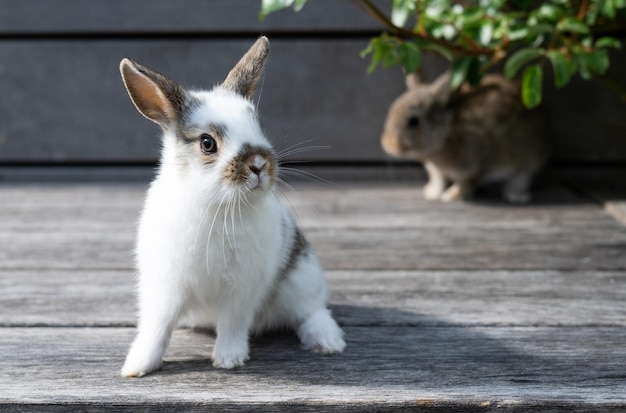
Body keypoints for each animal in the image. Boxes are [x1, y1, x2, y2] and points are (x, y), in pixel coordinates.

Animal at [119, 37, 344, 376]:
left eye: (259, 125)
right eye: (207, 143)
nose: (259, 164)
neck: (216, 205)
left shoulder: (241, 290)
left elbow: (233, 324)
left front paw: (228, 359)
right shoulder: (165, 286)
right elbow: (157, 328)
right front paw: (136, 366)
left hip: (302, 278)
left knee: (312, 311)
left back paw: (329, 342)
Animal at [378, 71, 548, 203]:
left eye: (413, 122)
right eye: (392, 108)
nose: (388, 145)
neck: (446, 132)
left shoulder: (474, 165)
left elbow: (465, 182)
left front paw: (451, 196)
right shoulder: (436, 169)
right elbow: (438, 179)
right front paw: (432, 193)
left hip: (529, 159)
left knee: (522, 177)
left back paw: (516, 196)